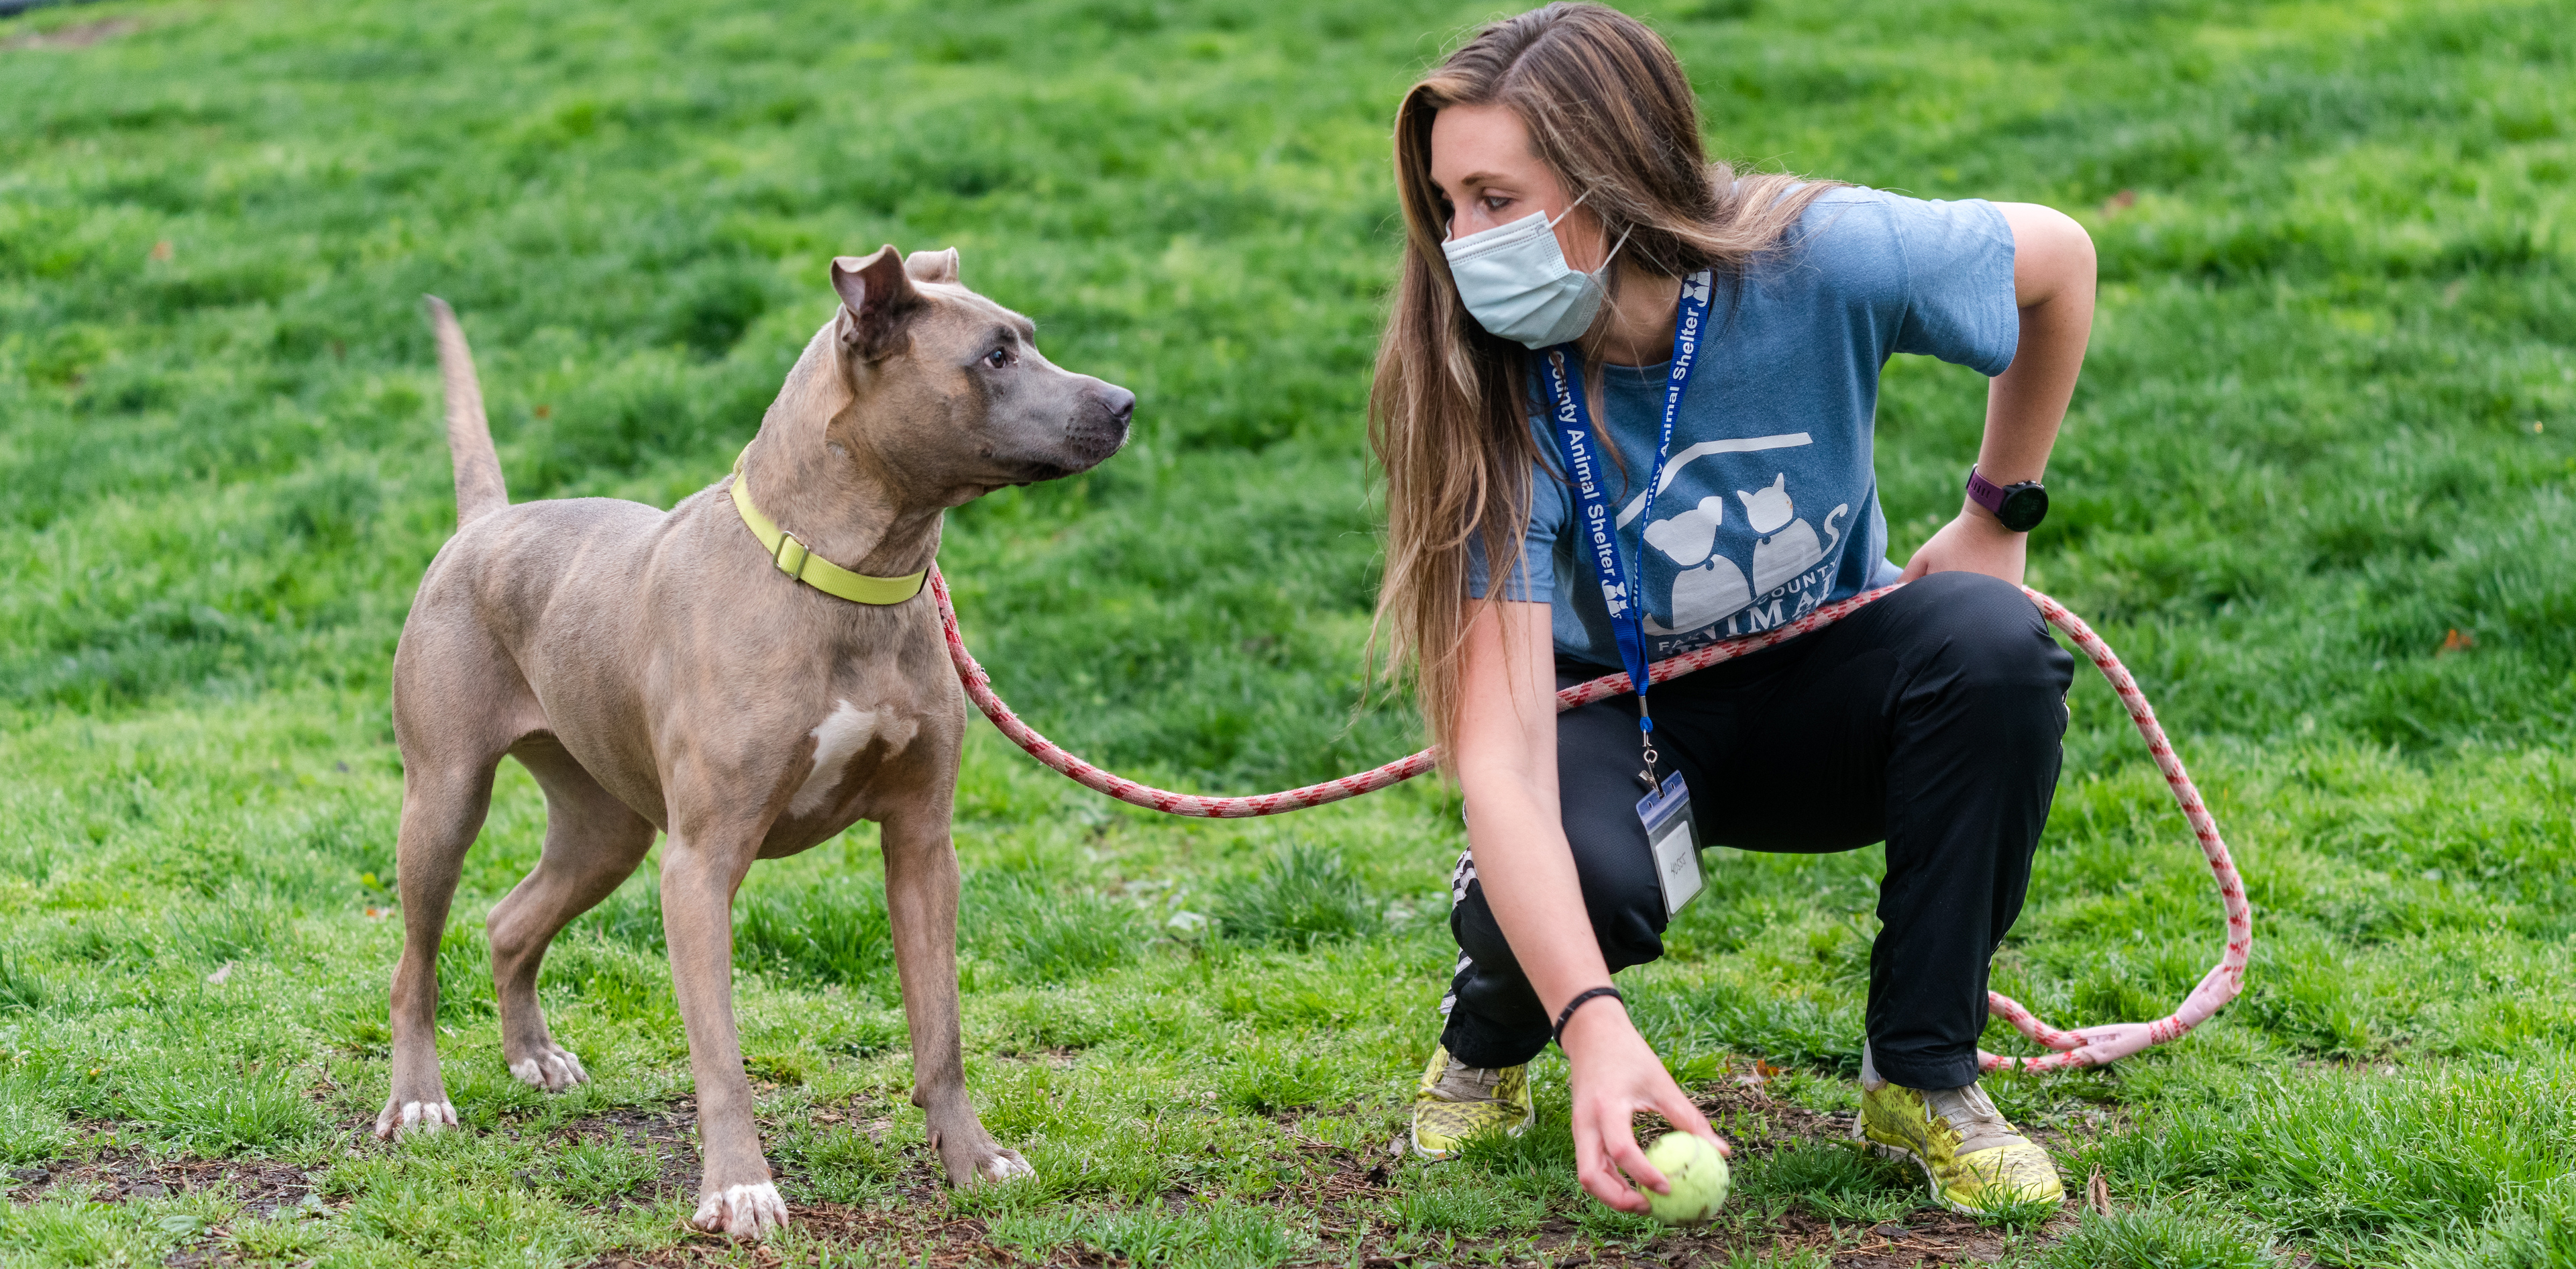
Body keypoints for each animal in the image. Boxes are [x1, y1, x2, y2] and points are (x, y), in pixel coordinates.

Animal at [378, 247, 1128, 1237]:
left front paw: (974, 1157)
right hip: (445, 799)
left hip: (605, 830)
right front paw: (737, 1187)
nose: (1125, 402)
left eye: (1031, 338)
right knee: (415, 963)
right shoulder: (700, 865)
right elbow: (720, 1054)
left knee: (510, 920)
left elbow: (942, 1028)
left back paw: (533, 1054)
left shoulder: (923, 845)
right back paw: (419, 1099)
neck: (847, 577)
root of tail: (483, 523)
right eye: (995, 356)